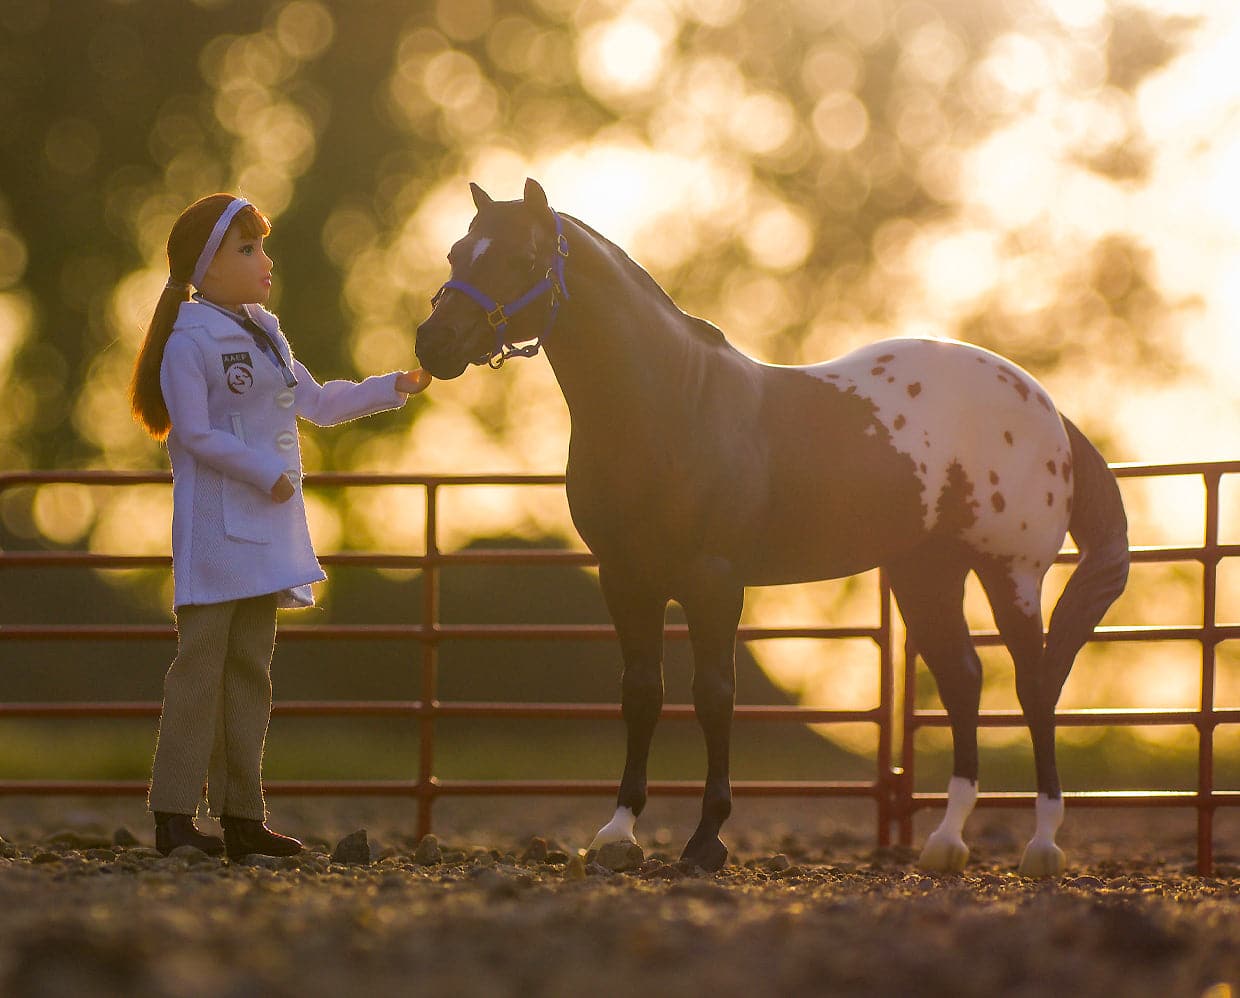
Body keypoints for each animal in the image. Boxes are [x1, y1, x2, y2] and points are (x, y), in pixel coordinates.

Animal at [416, 178, 1135, 872]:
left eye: (524, 258)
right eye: (456, 252)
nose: (435, 344)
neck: (670, 404)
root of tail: (1045, 405)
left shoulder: (713, 582)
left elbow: (714, 696)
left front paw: (705, 840)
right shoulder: (626, 579)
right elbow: (642, 695)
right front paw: (618, 833)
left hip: (1011, 572)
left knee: (1034, 686)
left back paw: (1042, 847)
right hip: (927, 574)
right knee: (963, 679)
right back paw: (946, 844)